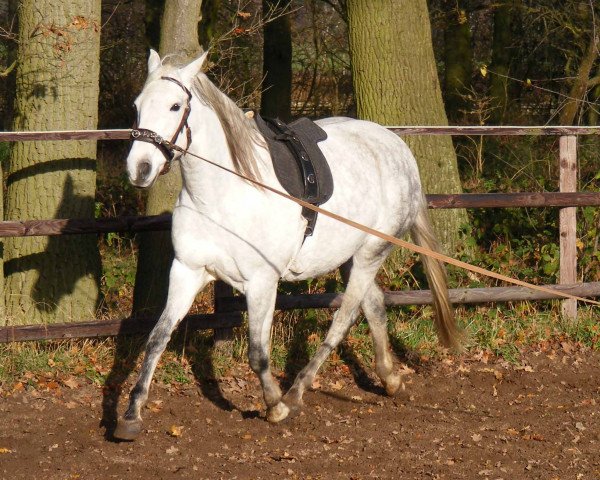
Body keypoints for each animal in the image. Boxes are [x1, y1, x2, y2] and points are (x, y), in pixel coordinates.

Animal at [116, 50, 464, 440]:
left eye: (176, 106)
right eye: (137, 106)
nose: (139, 169)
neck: (222, 195)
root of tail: (399, 150)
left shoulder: (261, 282)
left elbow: (258, 353)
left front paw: (275, 406)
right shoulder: (187, 272)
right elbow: (157, 338)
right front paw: (131, 414)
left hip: (371, 254)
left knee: (343, 319)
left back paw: (297, 392)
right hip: (350, 257)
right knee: (374, 306)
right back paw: (389, 379)